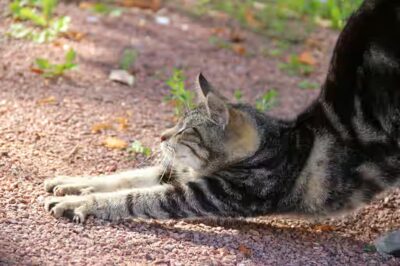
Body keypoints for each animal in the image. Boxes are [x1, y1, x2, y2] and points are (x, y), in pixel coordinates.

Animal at [43, 0, 400, 224]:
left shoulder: (206, 194)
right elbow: (124, 177)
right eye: (176, 123)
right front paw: (73, 183)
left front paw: (78, 202)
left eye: (186, 130)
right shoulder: (181, 172)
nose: (161, 135)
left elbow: (133, 197)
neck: (275, 145)